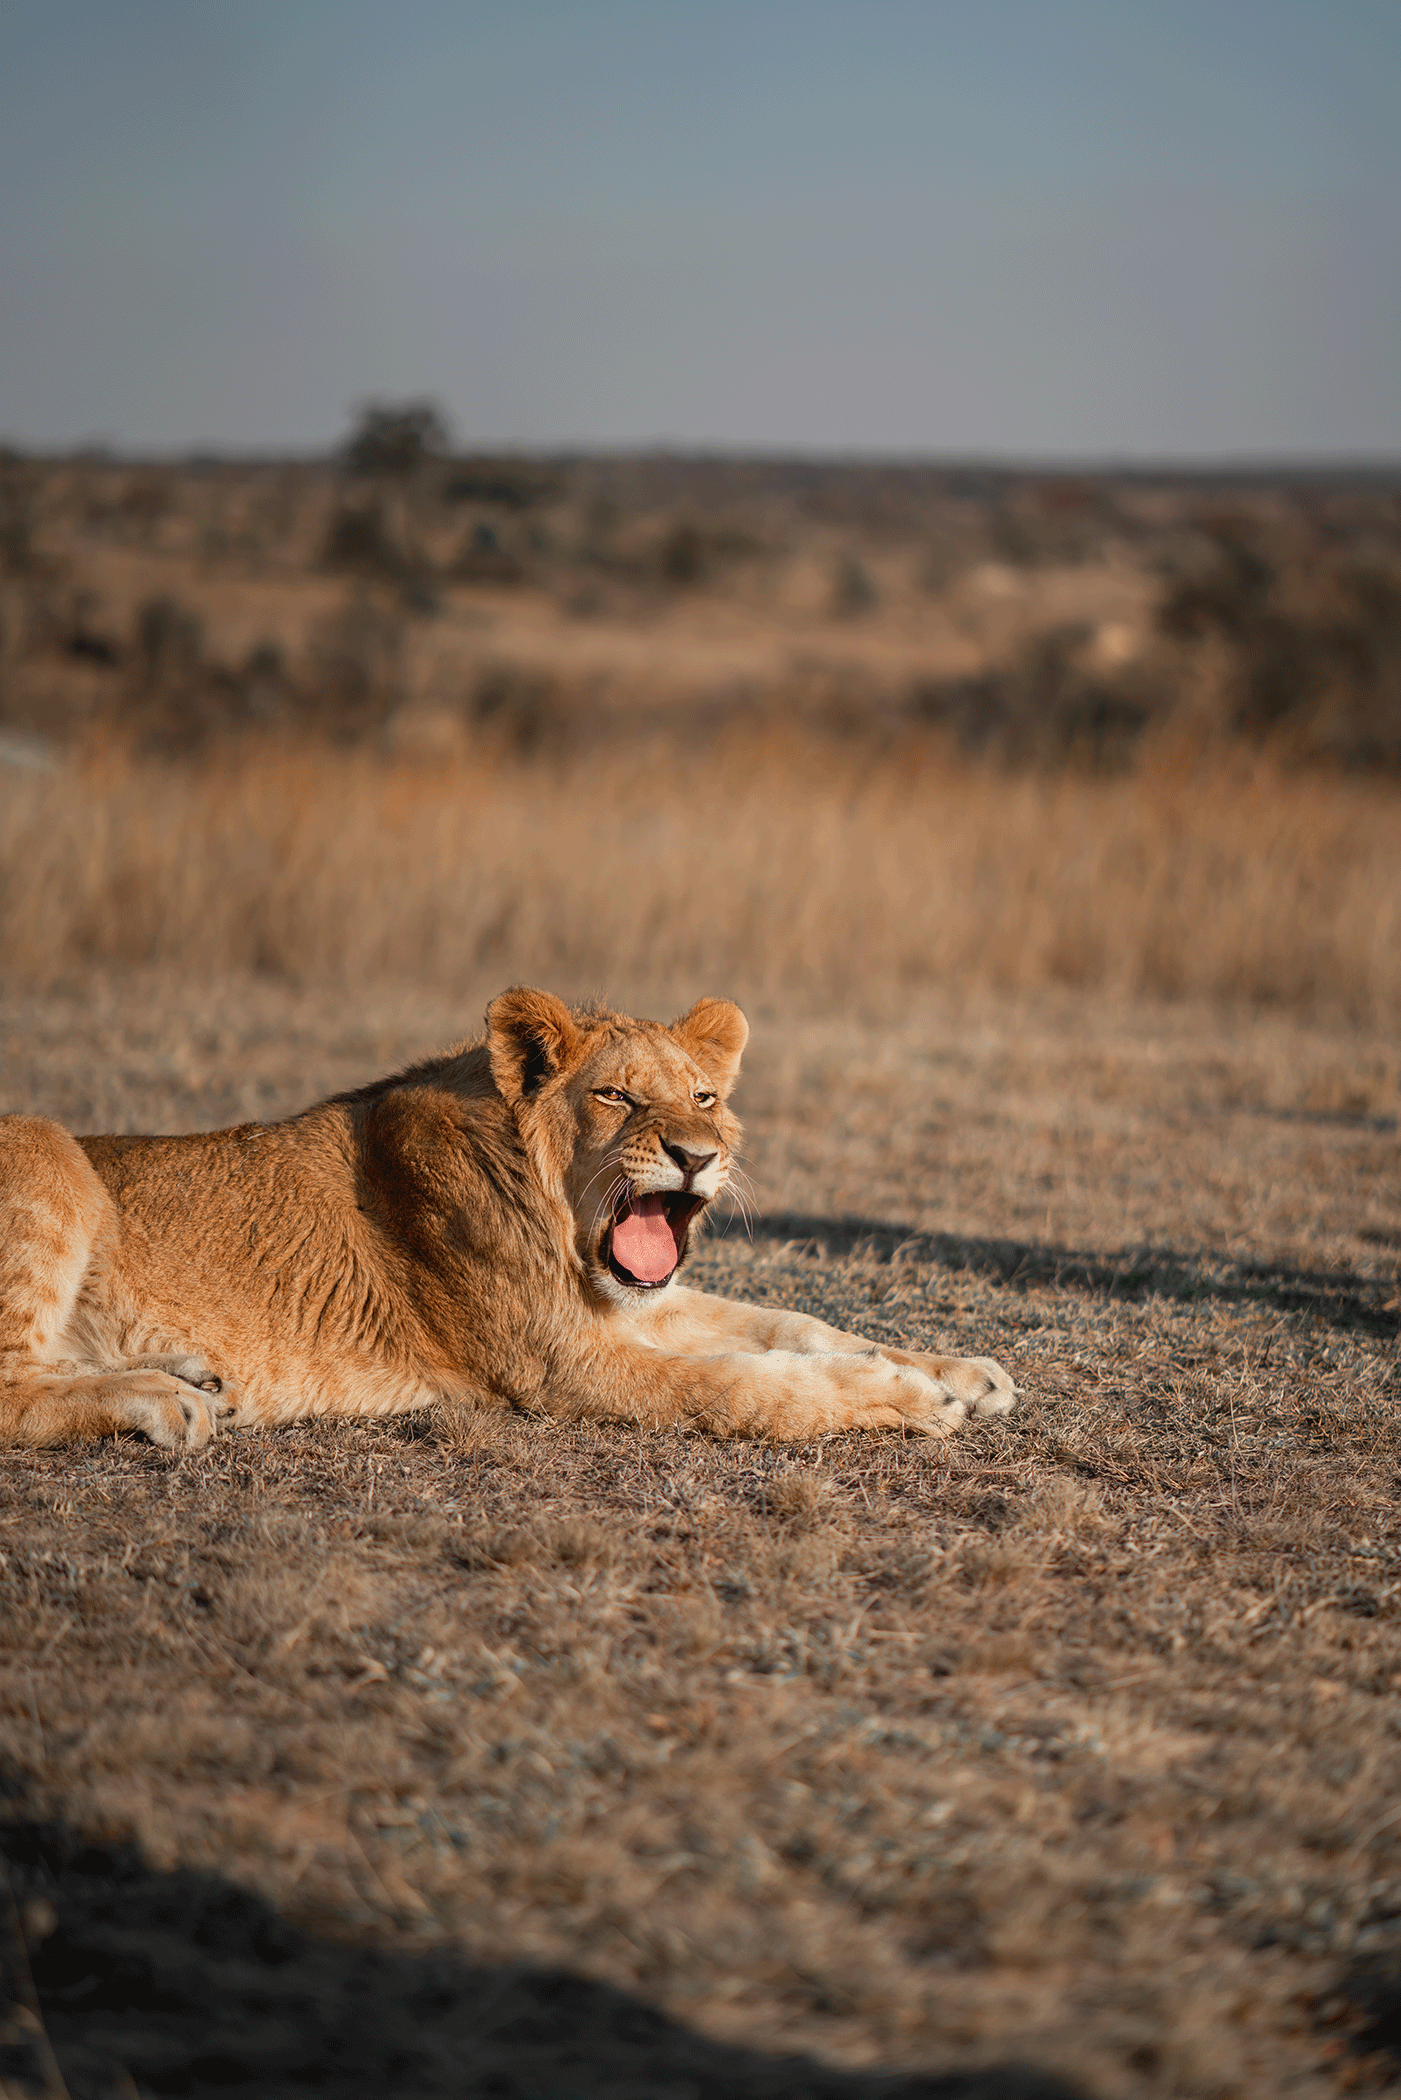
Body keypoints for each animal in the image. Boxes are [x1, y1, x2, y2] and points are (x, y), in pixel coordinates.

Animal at [0, 989, 1016, 1449]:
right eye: (614, 1096)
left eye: (703, 1096)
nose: (697, 1155)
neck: (564, 1232)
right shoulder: (564, 1367)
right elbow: (748, 1386)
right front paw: (907, 1396)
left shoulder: (633, 1305)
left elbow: (795, 1324)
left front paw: (961, 1371)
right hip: (43, 1145)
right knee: (13, 1385)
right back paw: (170, 1399)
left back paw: (185, 1373)